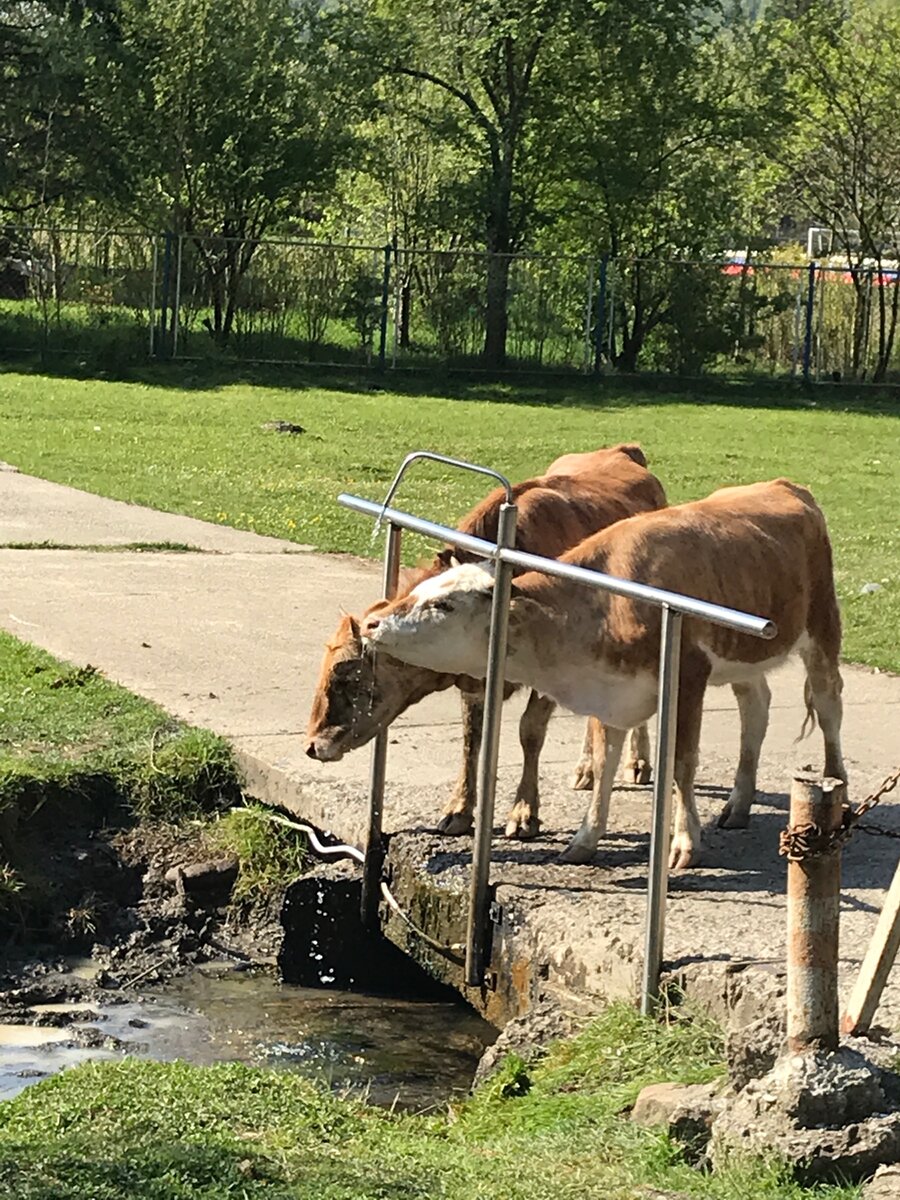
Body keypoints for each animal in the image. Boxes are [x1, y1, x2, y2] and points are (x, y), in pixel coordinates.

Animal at [305, 444, 668, 839]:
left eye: (348, 677)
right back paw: (586, 769)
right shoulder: (473, 677)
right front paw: (459, 809)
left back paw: (638, 761)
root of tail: (619, 450)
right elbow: (471, 737)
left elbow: (530, 731)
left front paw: (524, 812)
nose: (311, 746)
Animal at [359, 479, 846, 870]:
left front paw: (685, 843)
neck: (608, 605)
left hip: (822, 630)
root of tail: (786, 486)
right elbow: (603, 761)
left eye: (443, 604)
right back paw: (739, 804)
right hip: (744, 658)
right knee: (756, 707)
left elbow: (682, 765)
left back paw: (836, 789)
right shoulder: (612, 692)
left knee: (828, 708)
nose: (371, 623)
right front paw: (585, 839)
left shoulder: (688, 677)